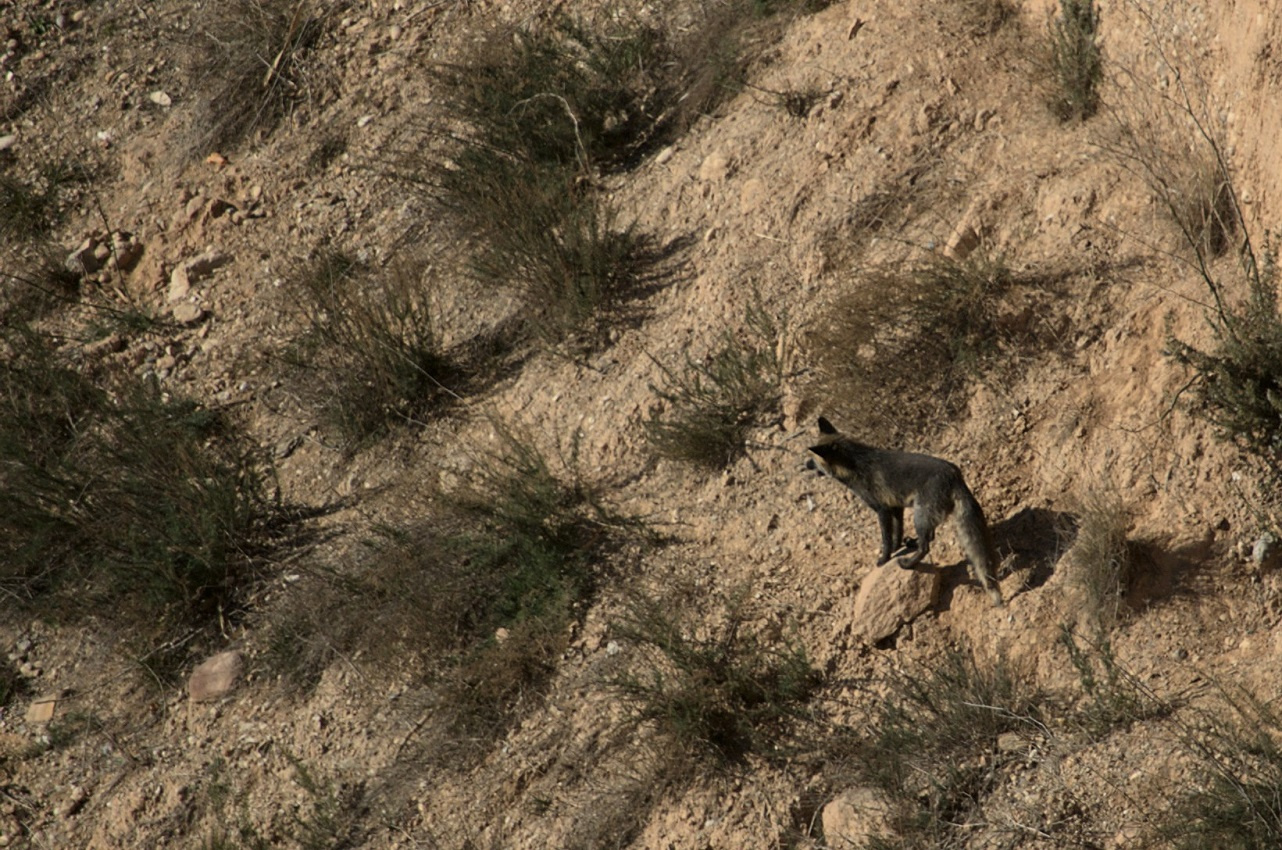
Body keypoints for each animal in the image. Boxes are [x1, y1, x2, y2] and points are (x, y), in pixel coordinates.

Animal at [799, 417, 999, 605]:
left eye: (813, 459)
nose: (804, 465)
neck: (855, 464)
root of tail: (954, 473)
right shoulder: (896, 507)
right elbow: (897, 533)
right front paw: (897, 549)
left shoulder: (881, 509)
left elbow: (886, 539)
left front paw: (884, 558)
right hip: (924, 516)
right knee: (929, 538)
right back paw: (912, 544)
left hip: (920, 515)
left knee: (926, 546)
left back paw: (909, 564)